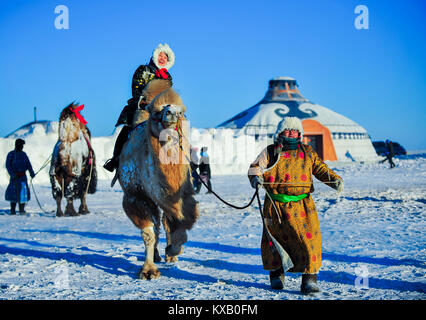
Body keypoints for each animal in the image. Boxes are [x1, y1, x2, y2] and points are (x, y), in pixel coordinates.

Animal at [118, 80, 200, 280]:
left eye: (183, 112)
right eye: (157, 112)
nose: (172, 112)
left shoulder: (181, 195)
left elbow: (179, 223)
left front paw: (174, 250)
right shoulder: (135, 196)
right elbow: (148, 233)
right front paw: (148, 271)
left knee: (163, 222)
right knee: (155, 225)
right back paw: (155, 255)